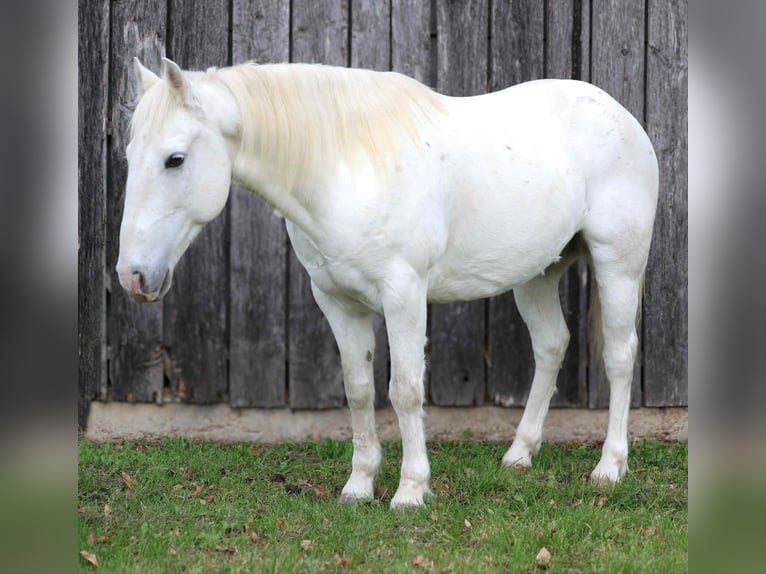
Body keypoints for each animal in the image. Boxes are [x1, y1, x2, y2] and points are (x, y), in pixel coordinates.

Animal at [117, 57, 658, 508]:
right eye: (129, 155)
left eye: (174, 159)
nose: (132, 276)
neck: (346, 170)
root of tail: (621, 115)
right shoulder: (336, 302)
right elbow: (359, 389)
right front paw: (359, 486)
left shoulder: (404, 296)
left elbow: (405, 390)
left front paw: (411, 491)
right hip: (536, 275)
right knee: (551, 346)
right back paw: (519, 455)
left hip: (618, 264)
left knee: (619, 356)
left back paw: (610, 467)